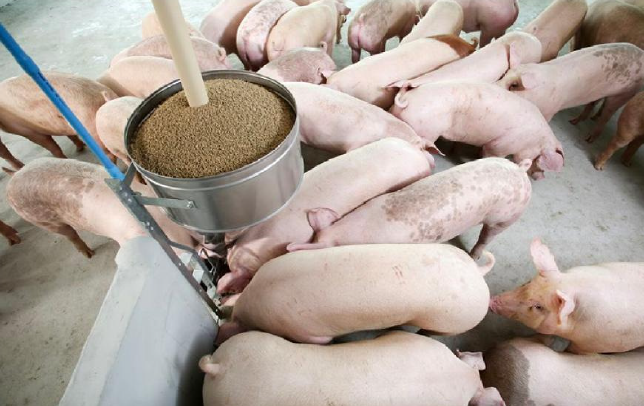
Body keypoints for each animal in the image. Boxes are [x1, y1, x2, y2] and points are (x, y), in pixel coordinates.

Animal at [391, 82, 564, 179]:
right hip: (426, 129)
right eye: (539, 159)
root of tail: (407, 100)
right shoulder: (499, 146)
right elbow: (490, 154)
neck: (533, 140)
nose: (541, 177)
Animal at [497, 43, 644, 143]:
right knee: (592, 103)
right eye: (503, 75)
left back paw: (588, 139)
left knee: (606, 115)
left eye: (514, 86)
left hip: (625, 94)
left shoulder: (551, 109)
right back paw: (573, 122)